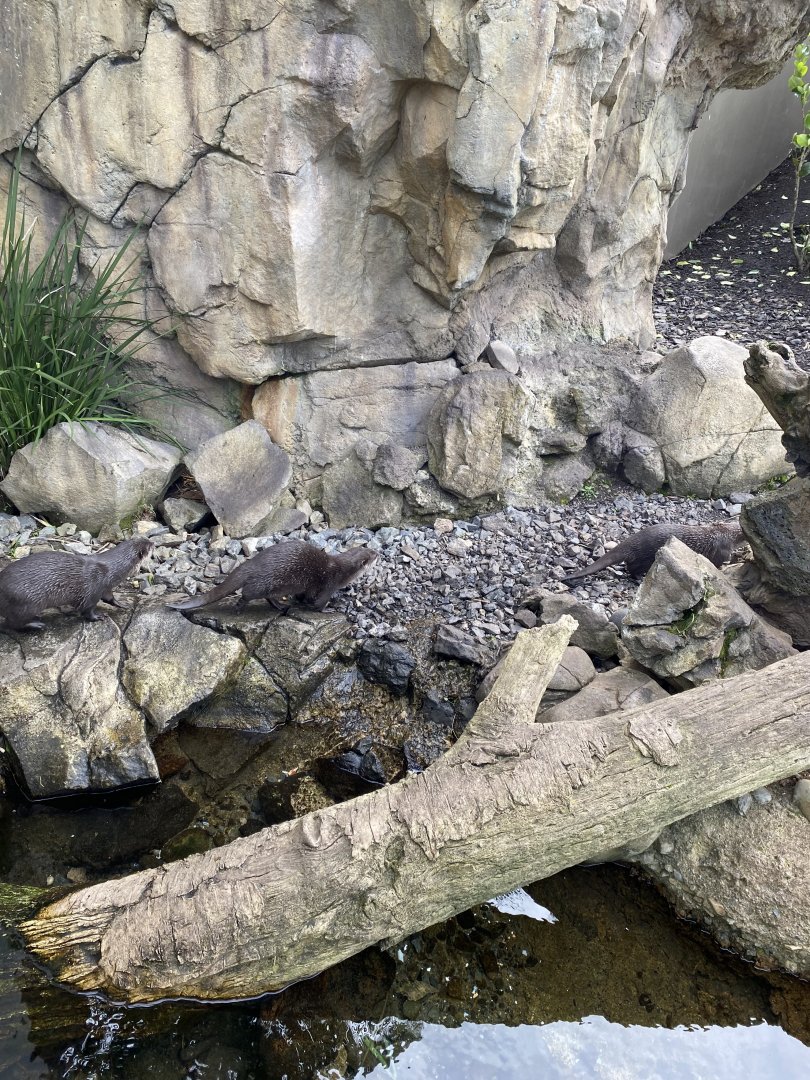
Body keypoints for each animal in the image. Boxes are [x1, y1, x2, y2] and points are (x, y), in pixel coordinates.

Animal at [0, 537, 152, 631]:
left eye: (145, 539)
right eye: (149, 547)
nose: (153, 543)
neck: (111, 570)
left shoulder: (105, 588)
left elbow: (110, 598)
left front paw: (122, 604)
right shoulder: (93, 588)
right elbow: (87, 609)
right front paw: (98, 616)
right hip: (26, 603)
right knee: (11, 624)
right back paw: (36, 624)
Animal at [168, 540, 377, 613]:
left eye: (368, 548)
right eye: (370, 557)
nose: (378, 553)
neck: (341, 570)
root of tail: (252, 564)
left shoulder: (310, 587)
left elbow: (305, 596)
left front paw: (300, 602)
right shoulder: (329, 584)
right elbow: (318, 603)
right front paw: (327, 610)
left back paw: (279, 606)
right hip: (268, 582)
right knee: (247, 593)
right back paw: (240, 608)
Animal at [562, 521, 744, 583]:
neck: (728, 533)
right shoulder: (723, 548)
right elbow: (717, 562)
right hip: (646, 556)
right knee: (632, 567)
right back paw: (639, 578)